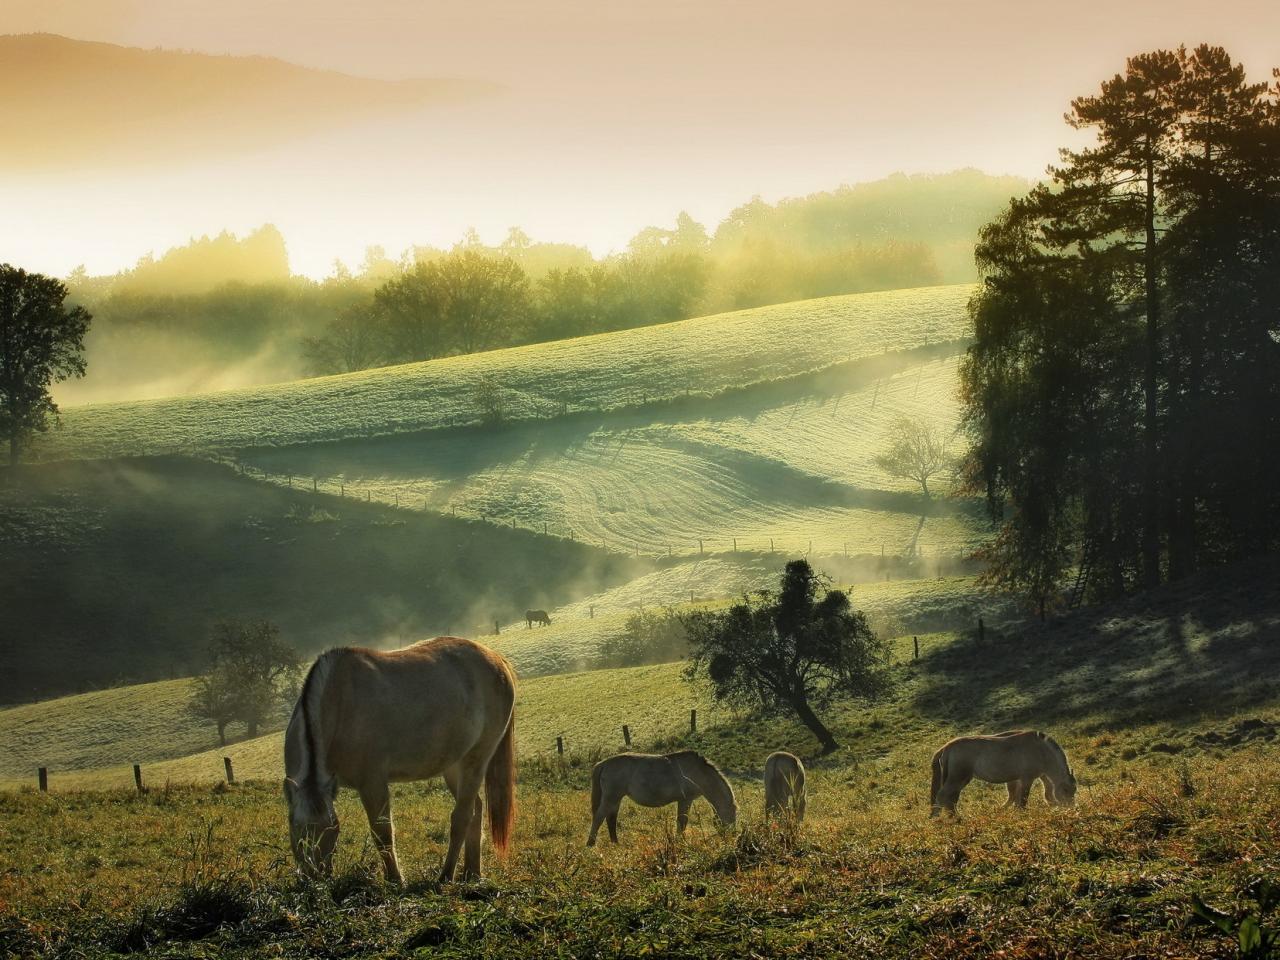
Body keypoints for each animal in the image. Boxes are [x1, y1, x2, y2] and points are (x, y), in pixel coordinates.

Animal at [284, 640, 514, 885]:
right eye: (295, 827)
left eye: (333, 827)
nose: (314, 876)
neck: (339, 703)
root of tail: (497, 660)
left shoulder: (373, 783)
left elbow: (382, 832)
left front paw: (395, 879)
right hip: (454, 766)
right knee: (476, 810)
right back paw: (472, 874)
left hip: (476, 759)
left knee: (462, 817)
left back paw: (446, 875)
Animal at [586, 747, 737, 844]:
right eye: (732, 817)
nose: (733, 838)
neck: (698, 772)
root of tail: (604, 763)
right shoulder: (685, 800)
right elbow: (682, 822)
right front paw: (681, 842)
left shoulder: (685, 801)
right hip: (611, 798)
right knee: (599, 817)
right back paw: (591, 844)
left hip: (615, 799)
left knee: (611, 819)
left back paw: (615, 844)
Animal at [931, 732, 1080, 814]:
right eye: (1066, 790)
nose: (1072, 808)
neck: (1041, 750)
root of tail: (947, 747)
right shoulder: (1027, 778)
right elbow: (1023, 800)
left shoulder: (1023, 779)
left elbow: (1018, 799)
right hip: (958, 777)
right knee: (944, 797)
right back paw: (956, 819)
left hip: (961, 779)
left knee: (950, 799)